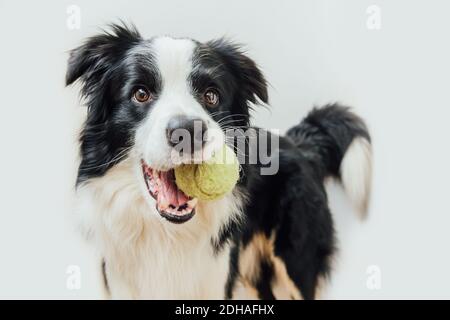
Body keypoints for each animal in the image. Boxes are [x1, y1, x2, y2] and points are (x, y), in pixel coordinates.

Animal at [65, 23, 370, 300]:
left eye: (211, 96)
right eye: (141, 93)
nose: (188, 131)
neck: (166, 234)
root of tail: (301, 143)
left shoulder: (217, 277)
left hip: (295, 263)